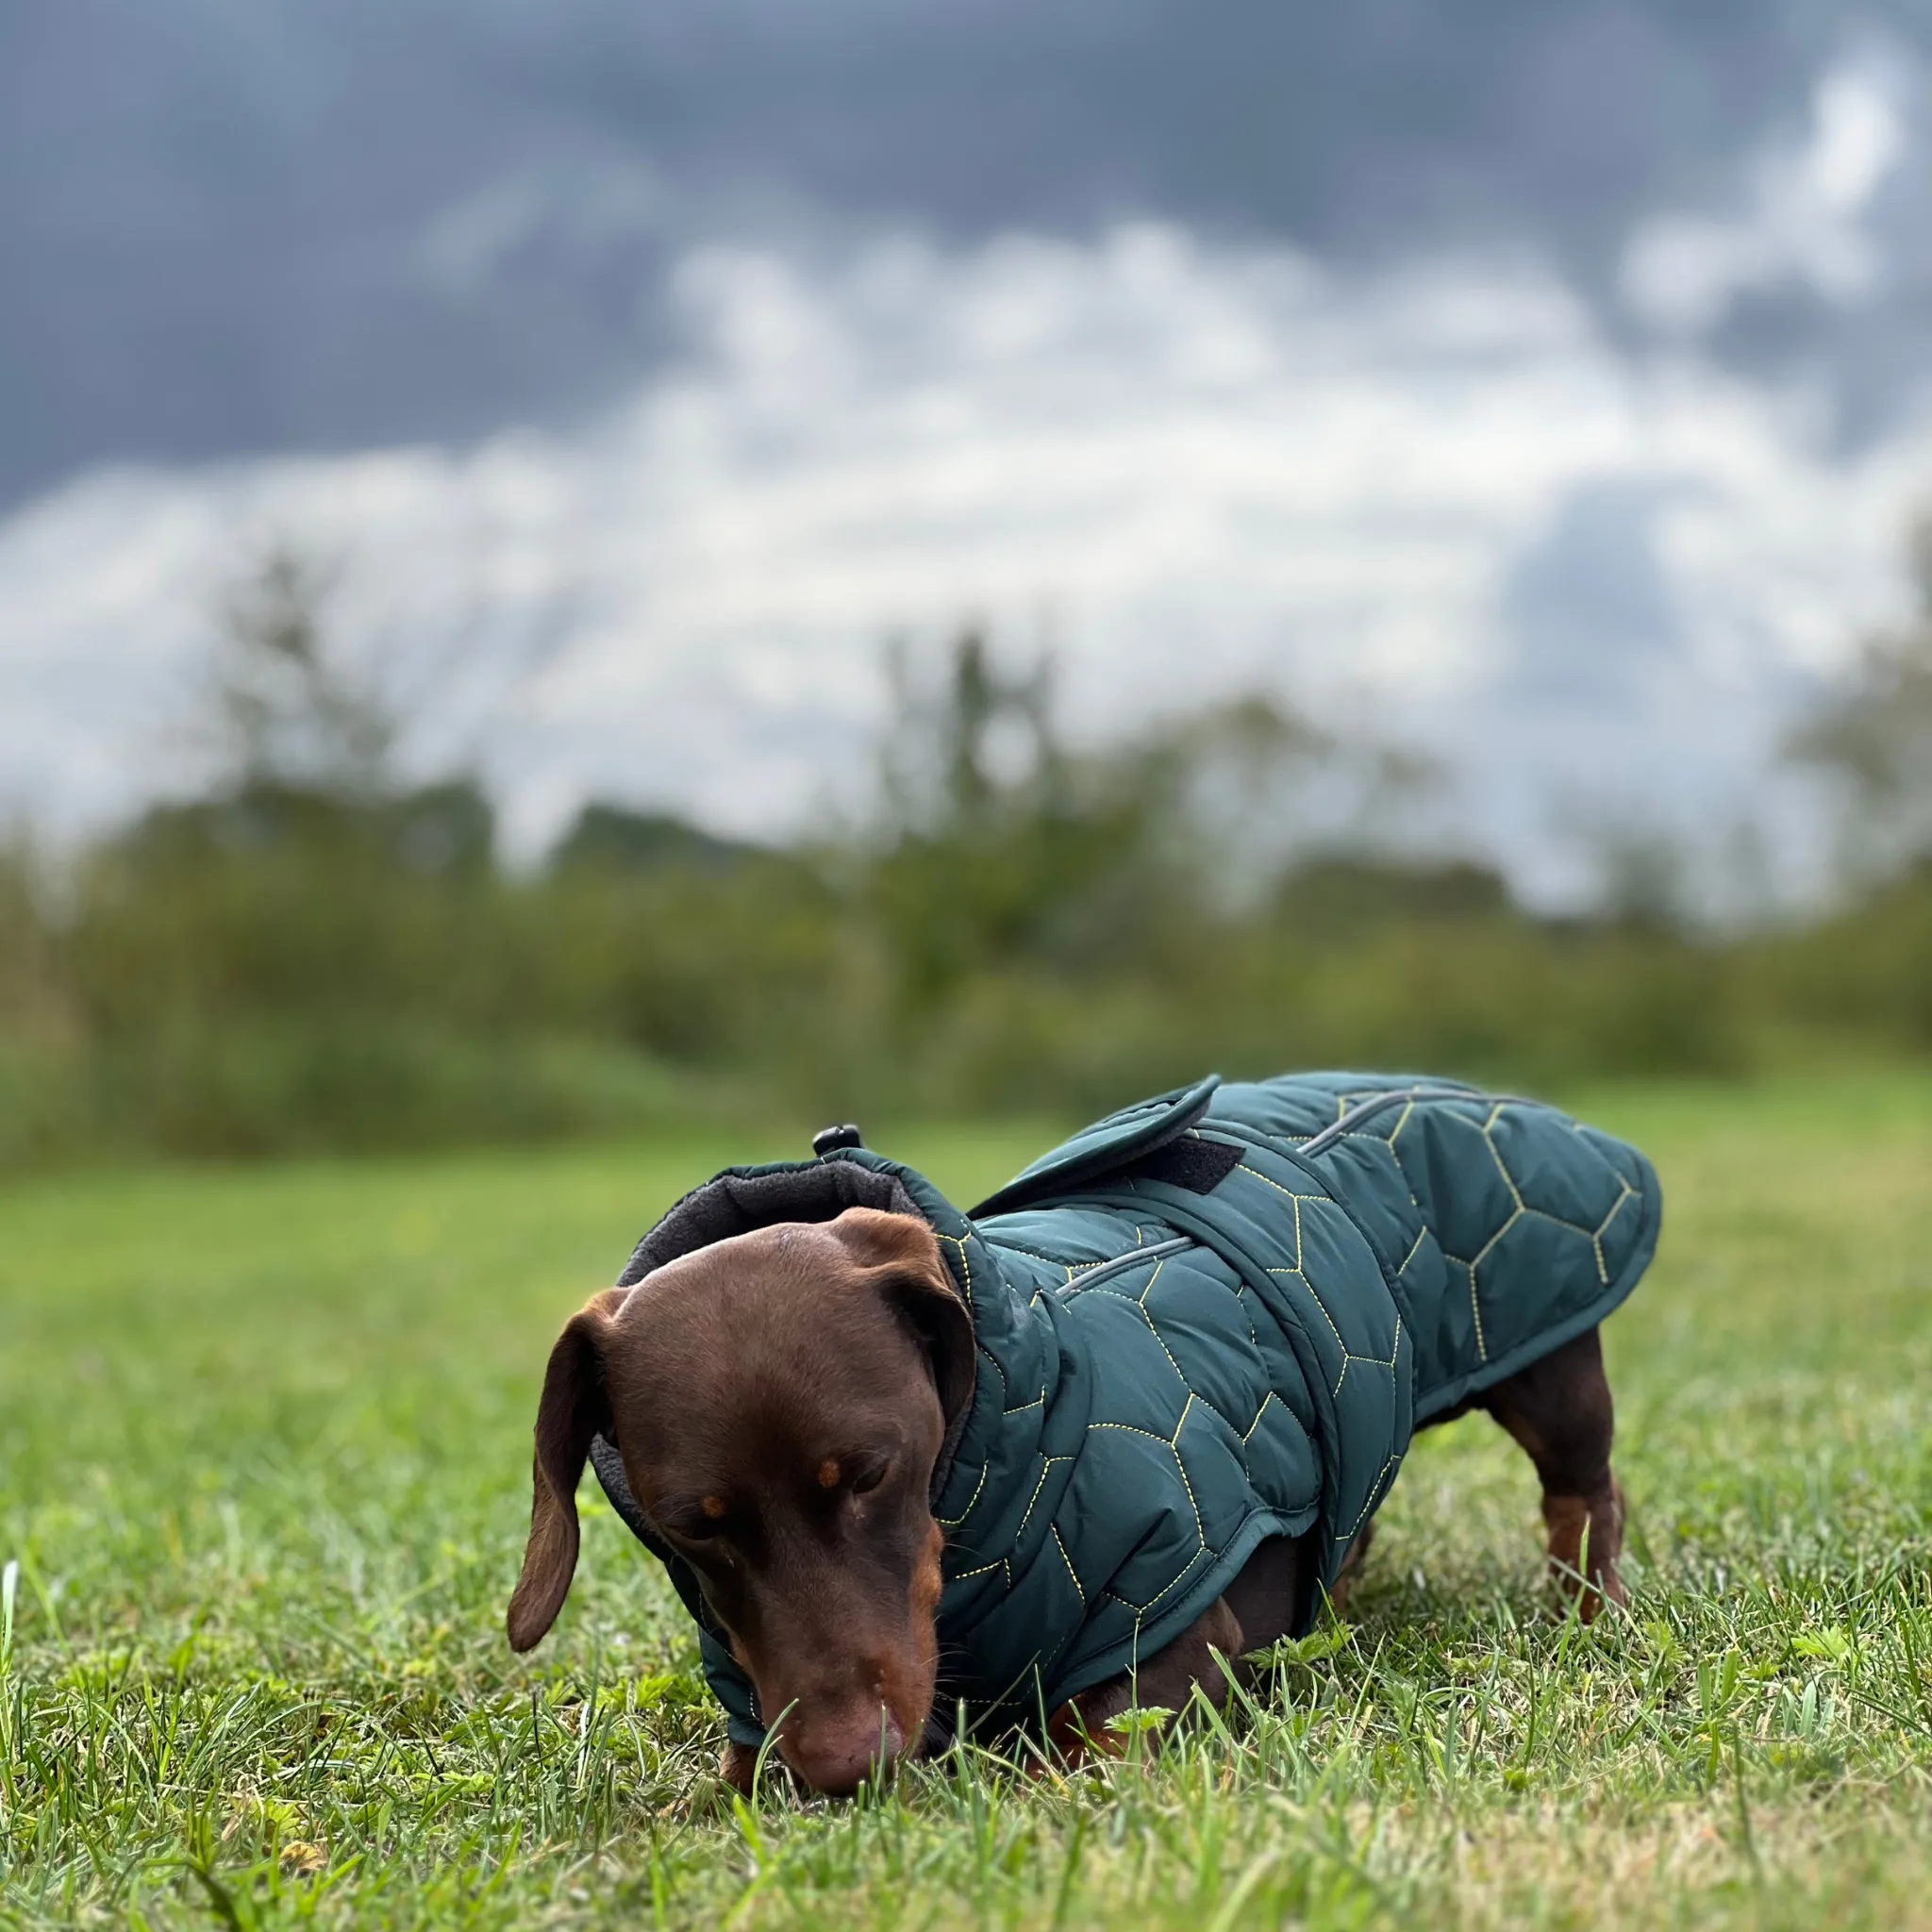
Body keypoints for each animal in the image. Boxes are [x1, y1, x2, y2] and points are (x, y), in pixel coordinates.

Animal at [506, 1074, 1654, 1792]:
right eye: (691, 1527)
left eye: (870, 1472)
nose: (843, 1768)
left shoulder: (1173, 1637)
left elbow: (1082, 1747)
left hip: (1551, 1371)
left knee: (1585, 1490)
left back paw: (1586, 1608)